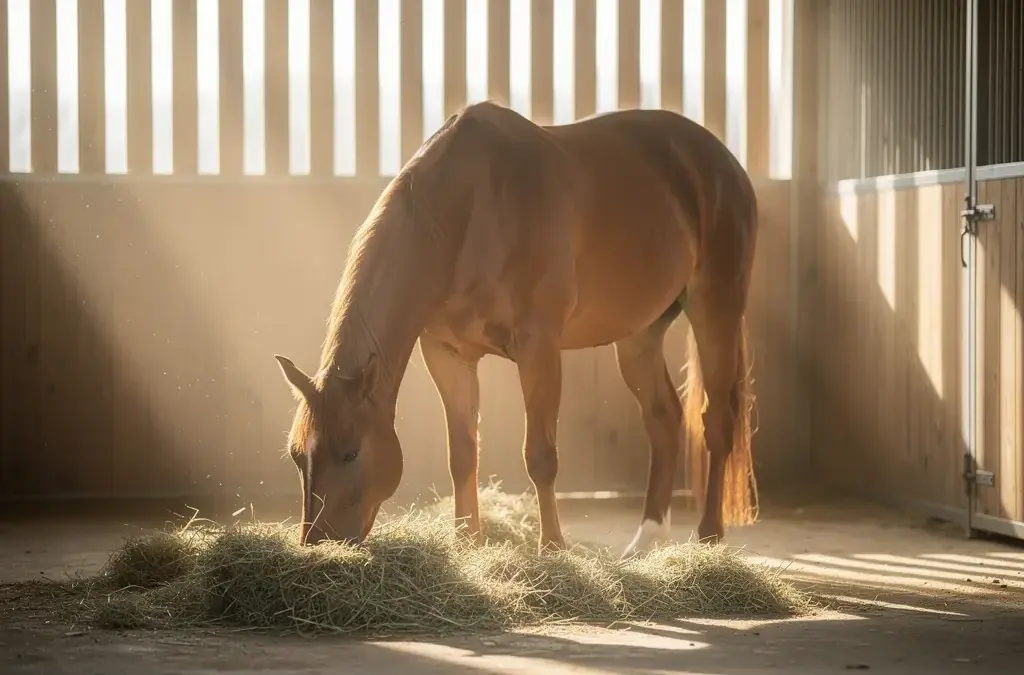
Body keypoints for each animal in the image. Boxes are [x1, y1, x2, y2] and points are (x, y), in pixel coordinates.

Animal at [273, 100, 759, 557]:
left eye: (351, 451)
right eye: (297, 455)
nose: (319, 543)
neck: (468, 213)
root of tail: (724, 161)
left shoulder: (538, 348)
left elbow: (540, 456)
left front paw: (552, 548)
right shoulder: (446, 353)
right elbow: (462, 454)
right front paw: (467, 542)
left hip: (716, 309)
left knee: (716, 421)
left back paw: (709, 537)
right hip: (639, 335)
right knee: (664, 420)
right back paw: (647, 541)